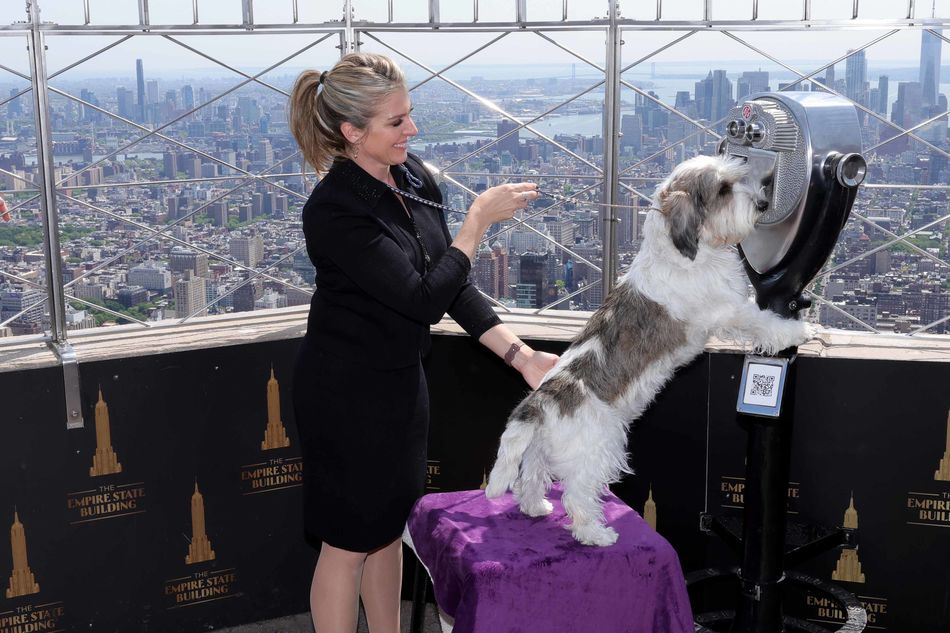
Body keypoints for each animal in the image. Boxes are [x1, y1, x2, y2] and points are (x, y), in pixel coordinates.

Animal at [488, 153, 816, 544]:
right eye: (723, 189)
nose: (763, 204)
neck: (686, 252)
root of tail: (540, 401)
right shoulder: (727, 312)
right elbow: (761, 321)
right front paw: (799, 330)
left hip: (541, 449)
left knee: (532, 476)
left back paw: (536, 506)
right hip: (597, 448)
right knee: (577, 494)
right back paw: (595, 534)